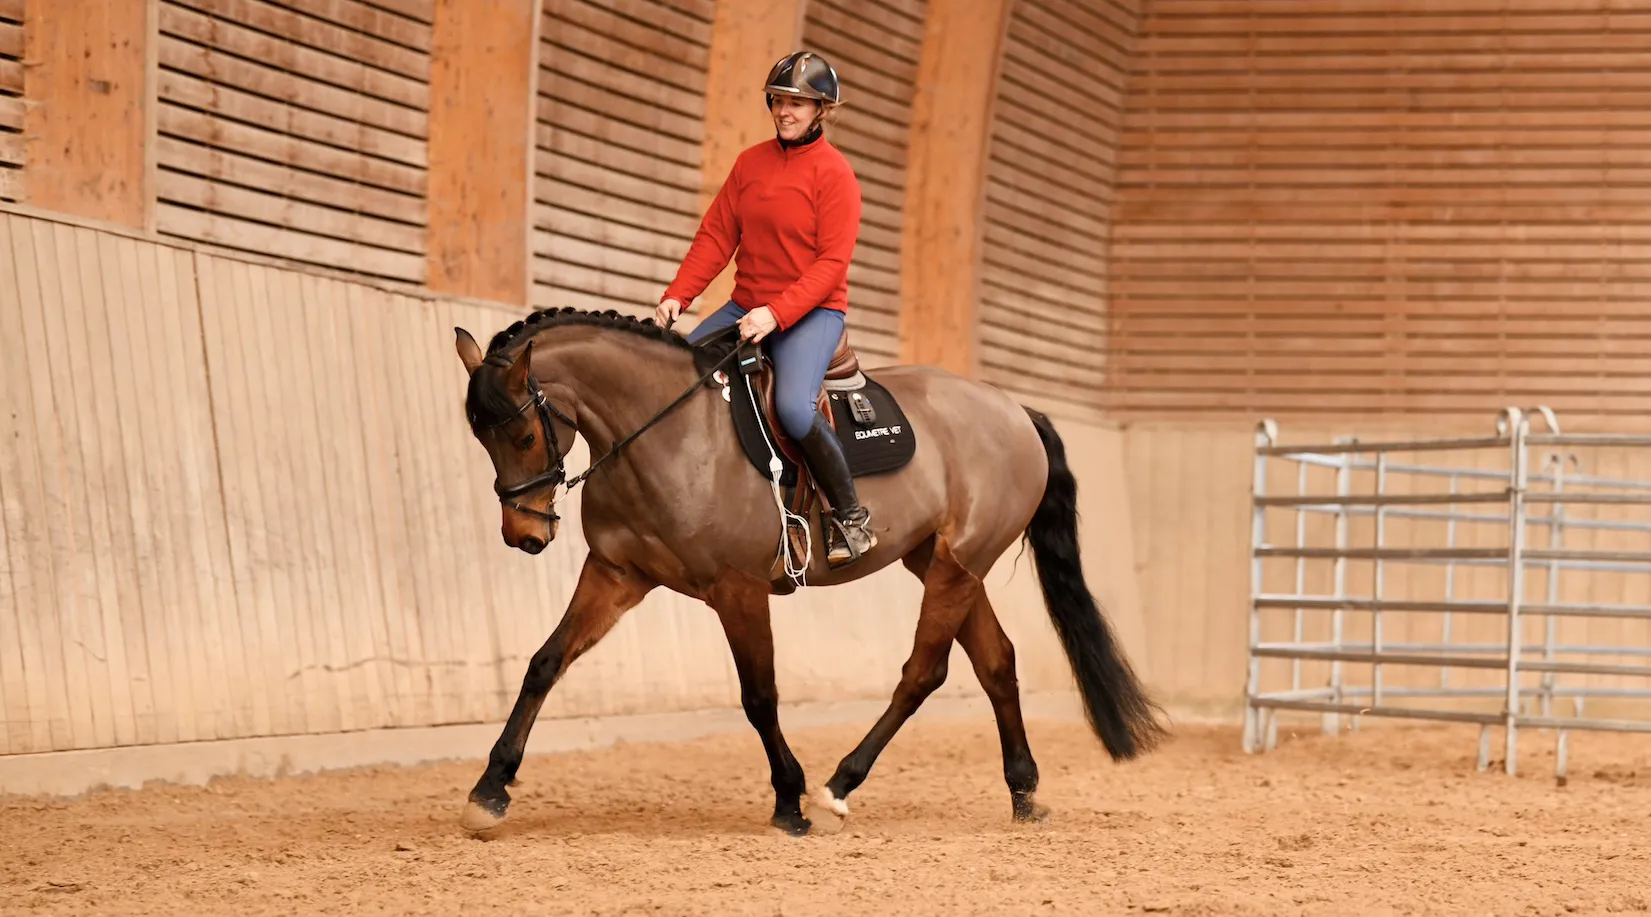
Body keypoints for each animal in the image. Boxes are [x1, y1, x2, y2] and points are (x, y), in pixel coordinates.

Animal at [451, 306, 1166, 836]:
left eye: (523, 436)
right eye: (480, 437)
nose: (524, 535)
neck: (668, 435)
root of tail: (1014, 410)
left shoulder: (737, 589)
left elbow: (759, 696)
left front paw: (789, 800)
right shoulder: (616, 573)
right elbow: (545, 663)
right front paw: (490, 790)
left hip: (959, 565)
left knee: (924, 671)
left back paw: (838, 786)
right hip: (943, 560)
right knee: (996, 663)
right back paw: (1023, 792)